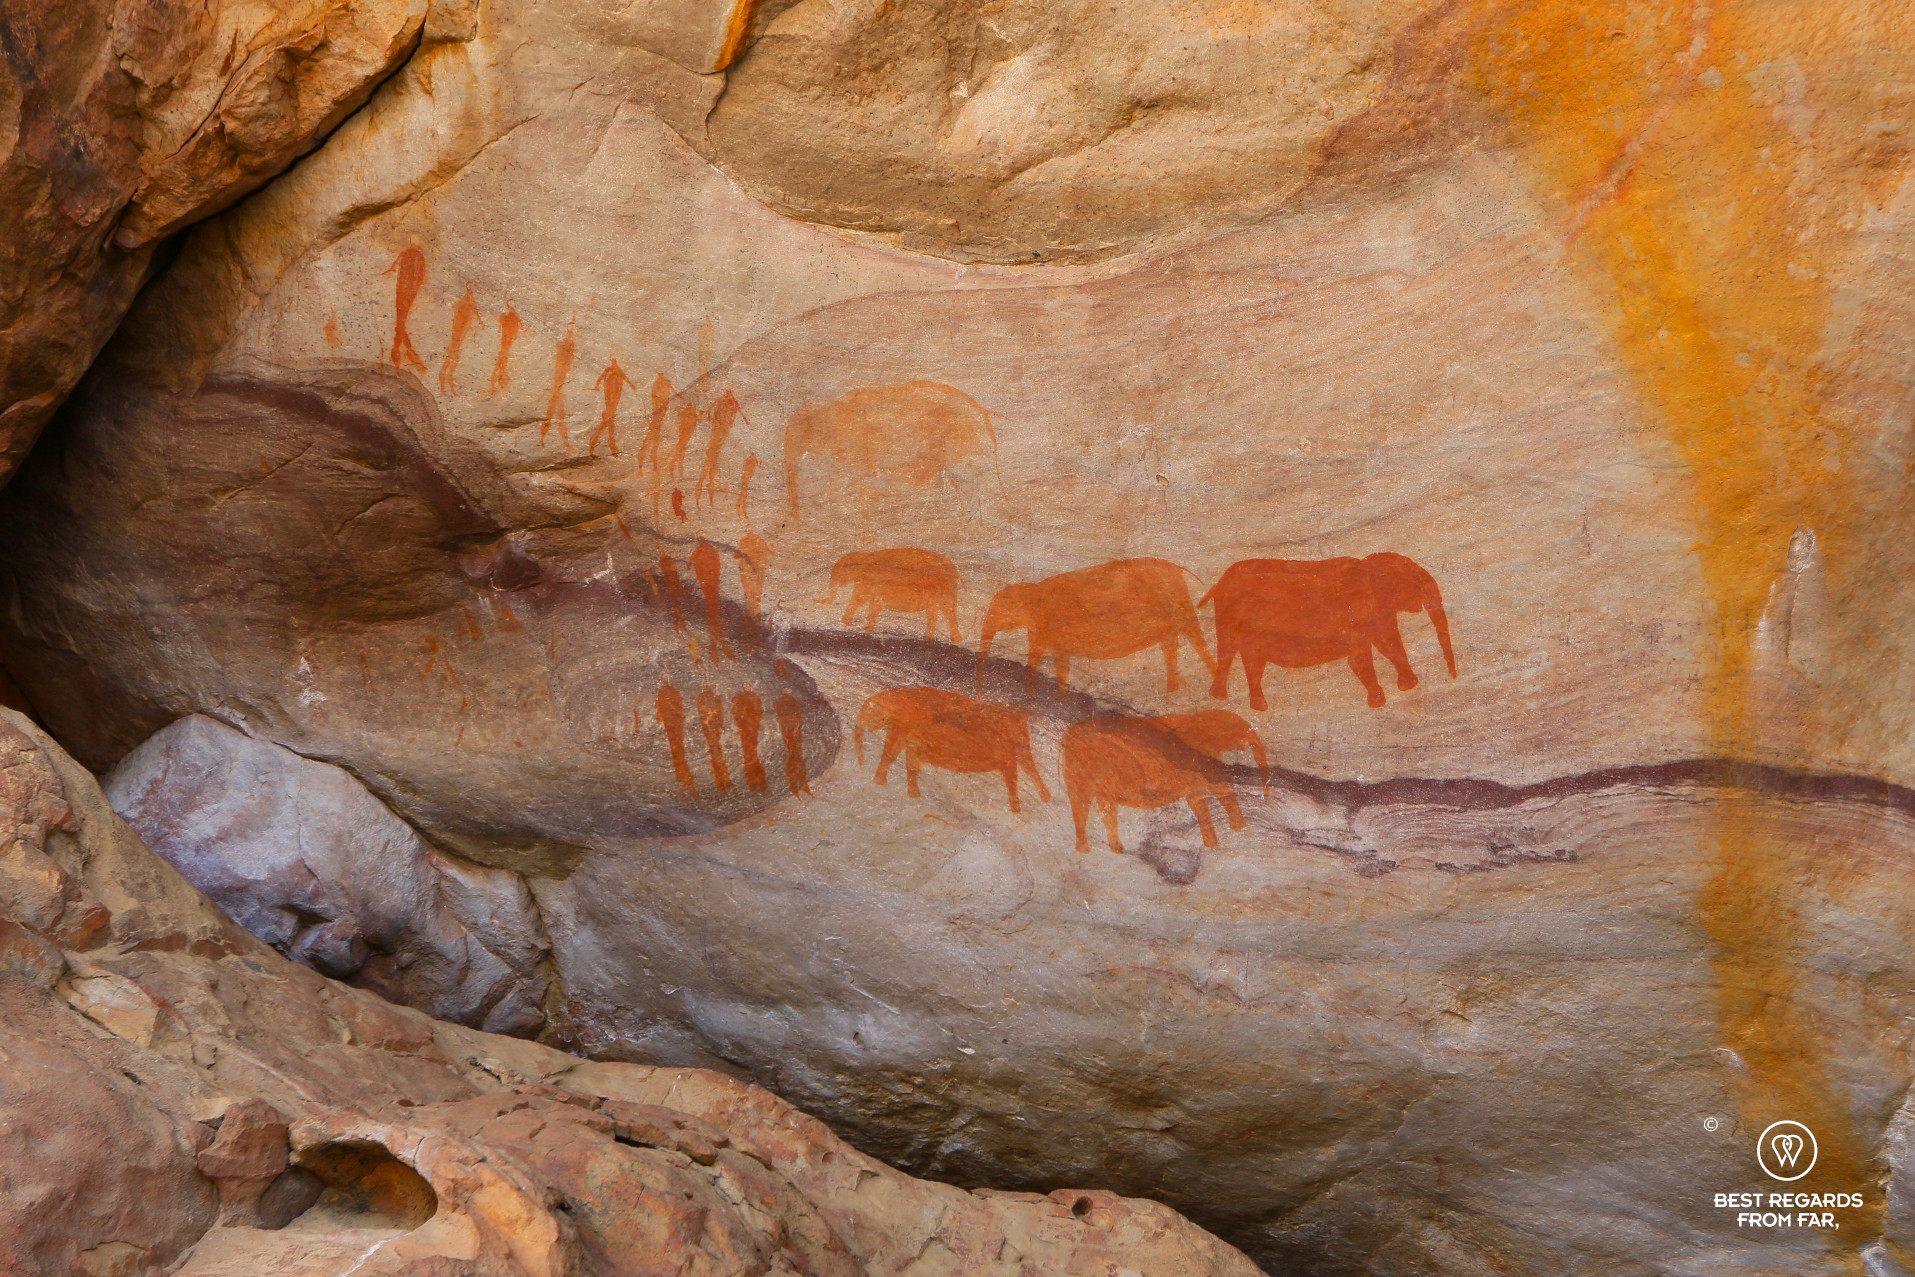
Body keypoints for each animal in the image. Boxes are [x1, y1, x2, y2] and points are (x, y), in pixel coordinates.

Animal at [819, 548, 961, 641]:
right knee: (934, 613)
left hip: (946, 590)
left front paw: (864, 630)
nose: (817, 600)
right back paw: (931, 639)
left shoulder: (869, 581)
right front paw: (852, 626)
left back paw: (954, 640)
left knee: (948, 612)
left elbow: (865, 602)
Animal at [978, 558, 1216, 695]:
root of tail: (1177, 569)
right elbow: (1058, 659)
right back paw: (1173, 691)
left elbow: (1043, 655)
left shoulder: (1046, 622)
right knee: (1171, 641)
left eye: (1001, 606)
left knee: (1192, 634)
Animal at [1201, 551, 1456, 710]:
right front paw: (1379, 702)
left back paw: (1250, 705)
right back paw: (1234, 701)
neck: (1368, 567)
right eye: (1416, 582)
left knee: (1248, 659)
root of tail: (1218, 583)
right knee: (1231, 652)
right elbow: (1360, 658)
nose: (1453, 677)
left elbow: (1388, 644)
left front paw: (1408, 686)